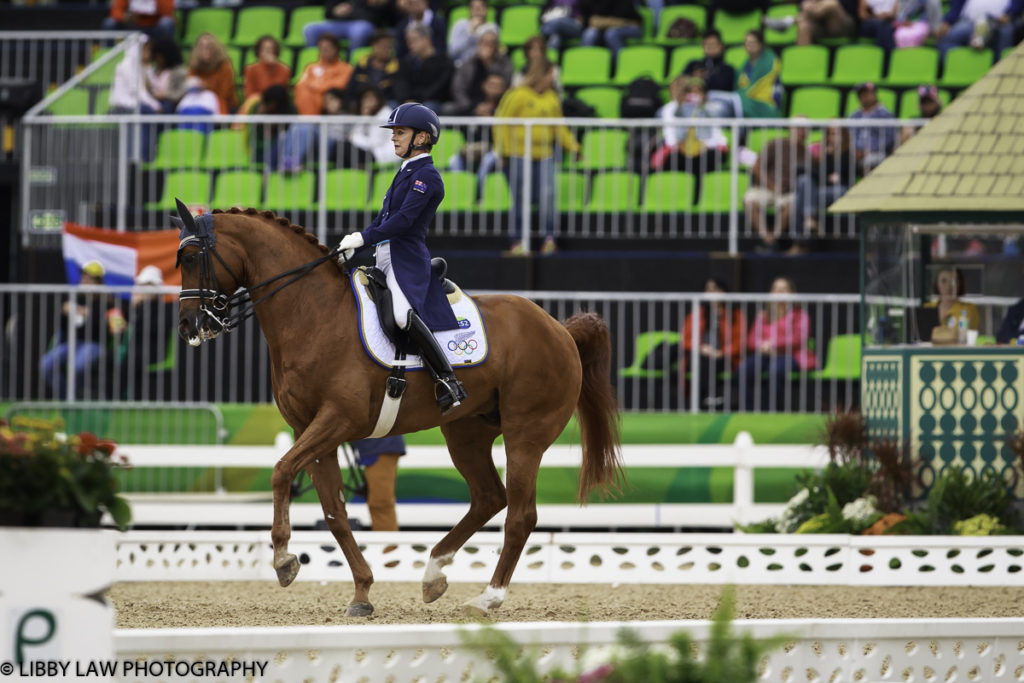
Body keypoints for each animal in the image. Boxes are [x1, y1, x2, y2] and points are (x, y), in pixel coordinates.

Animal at [177, 205, 622, 618]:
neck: (313, 313)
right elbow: (334, 512)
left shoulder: (338, 420)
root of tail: (560, 329)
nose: (187, 327)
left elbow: (282, 470)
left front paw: (284, 560)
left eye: (192, 257)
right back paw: (434, 572)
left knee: (521, 515)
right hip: (466, 433)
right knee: (488, 498)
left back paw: (487, 598)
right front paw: (361, 592)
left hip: (524, 434)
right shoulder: (313, 430)